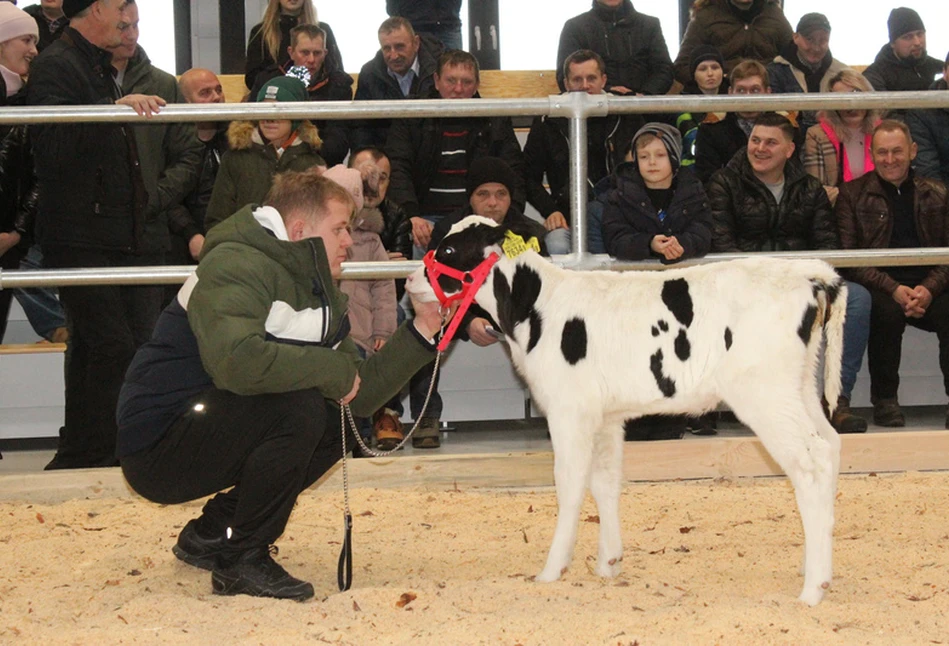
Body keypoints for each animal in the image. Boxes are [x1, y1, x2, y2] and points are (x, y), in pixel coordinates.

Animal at [408, 218, 844, 608]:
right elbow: (605, 482)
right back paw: (814, 567)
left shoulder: (568, 411)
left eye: (449, 250)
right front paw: (608, 563)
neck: (538, 310)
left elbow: (570, 484)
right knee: (831, 446)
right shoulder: (605, 417)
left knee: (811, 463)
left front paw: (552, 569)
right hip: (799, 388)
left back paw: (813, 589)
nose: (411, 282)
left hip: (765, 394)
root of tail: (808, 273)